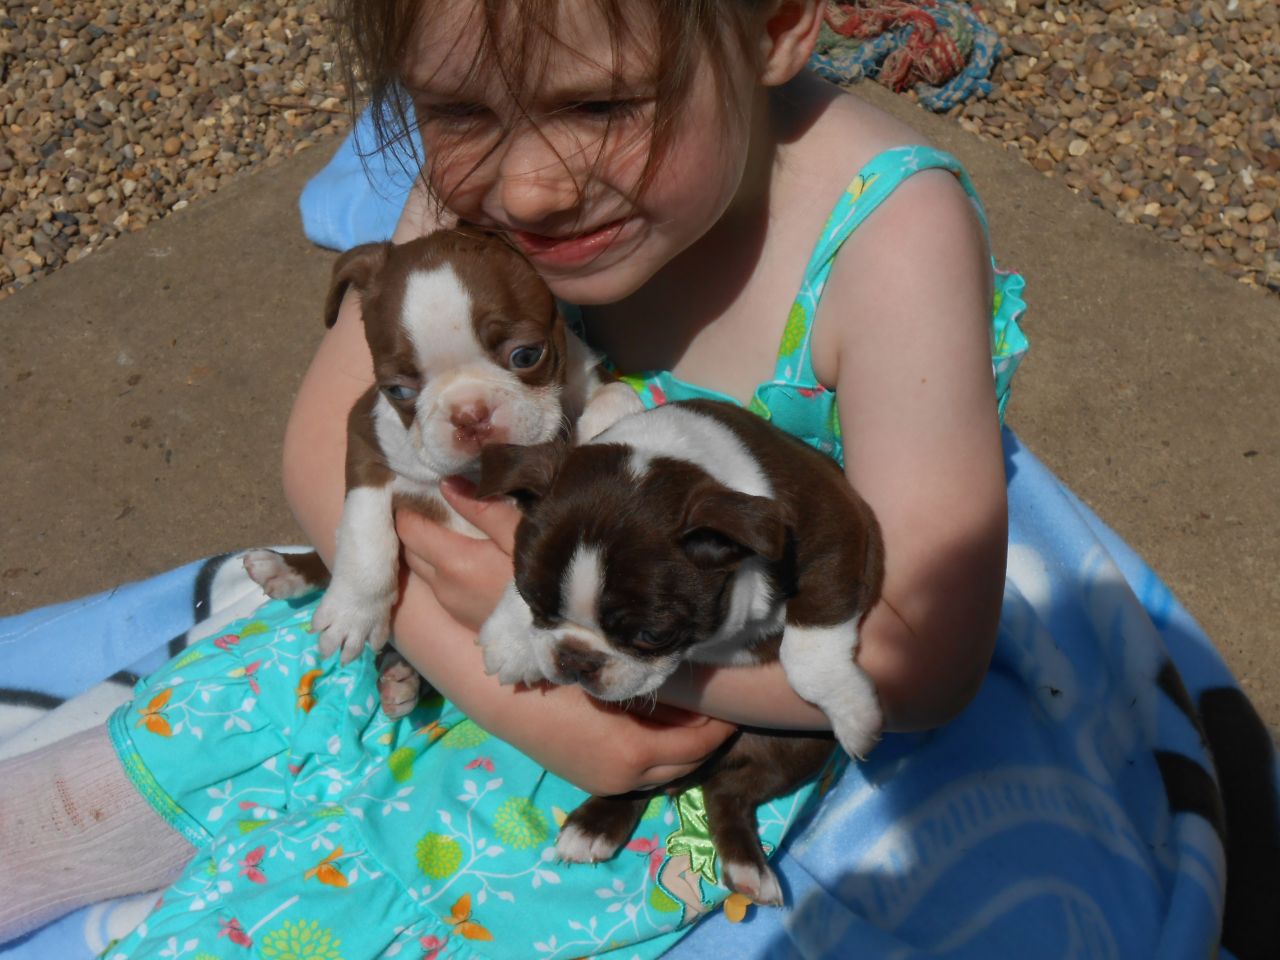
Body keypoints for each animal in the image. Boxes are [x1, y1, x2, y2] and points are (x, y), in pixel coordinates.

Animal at [476, 399, 885, 911]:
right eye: (535, 601)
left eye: (652, 635)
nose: (576, 660)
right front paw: (510, 639)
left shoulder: (836, 536)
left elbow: (808, 647)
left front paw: (850, 710)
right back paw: (594, 826)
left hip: (797, 744)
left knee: (728, 793)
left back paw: (747, 868)